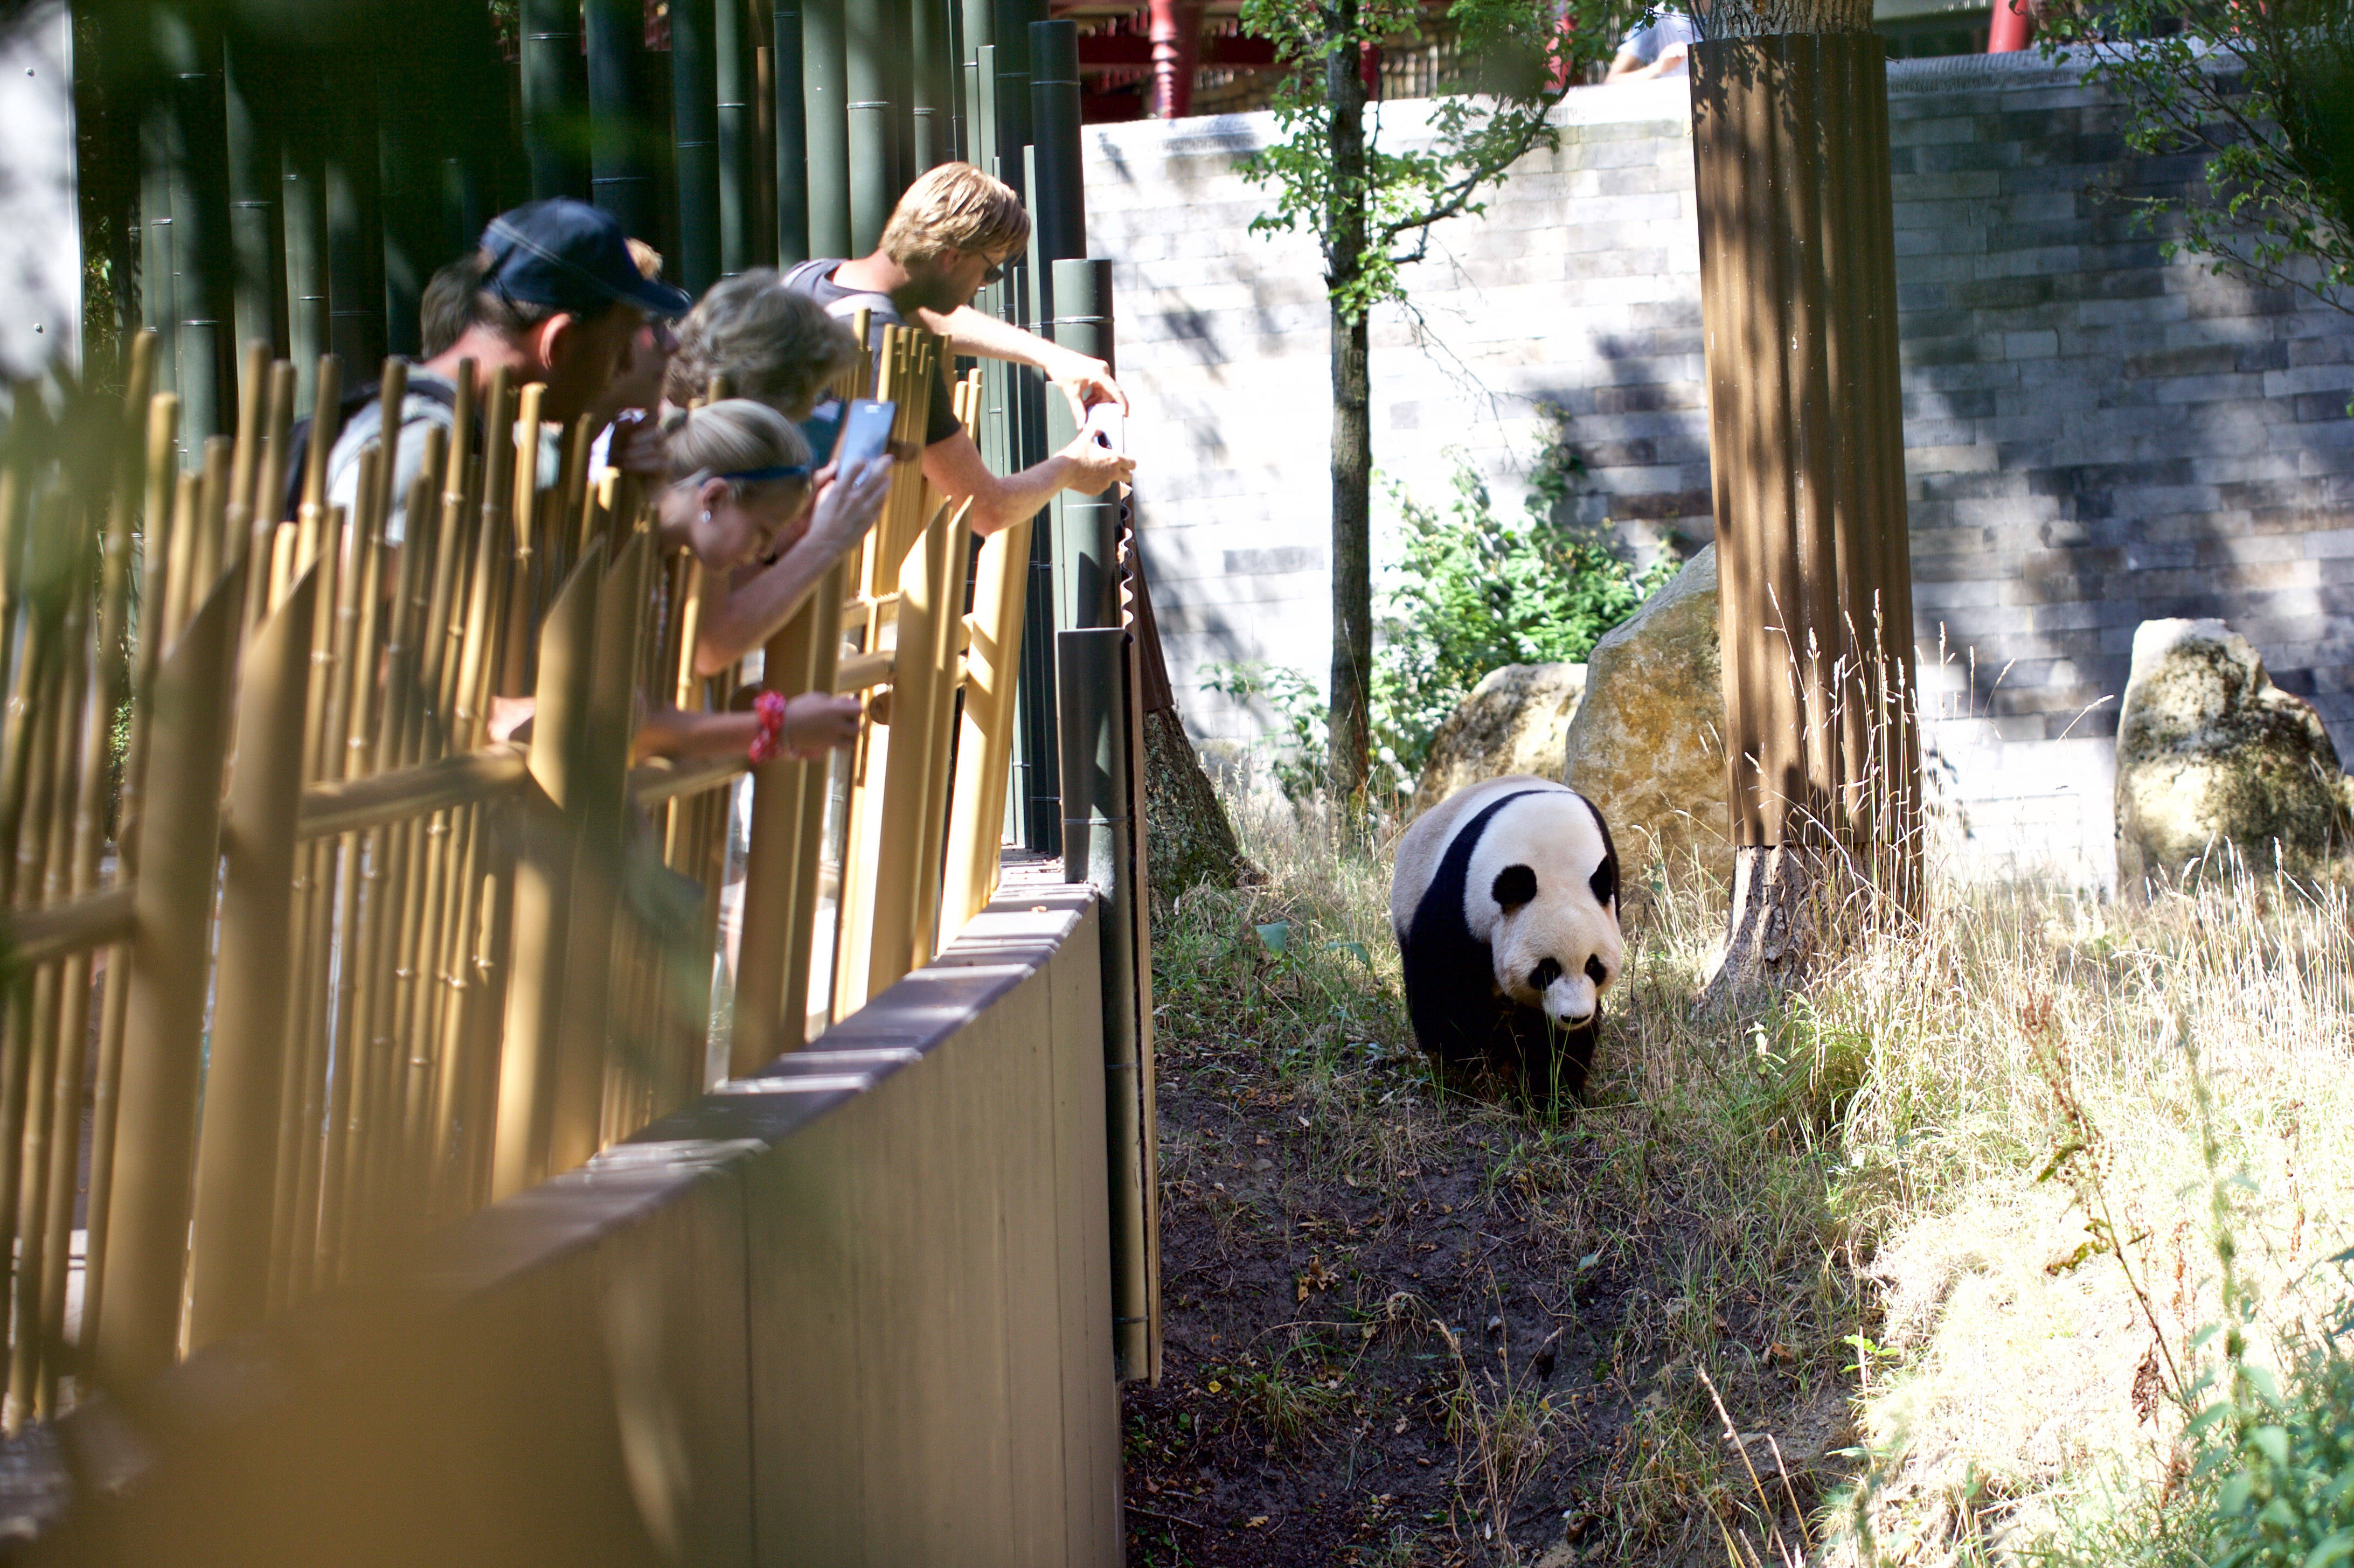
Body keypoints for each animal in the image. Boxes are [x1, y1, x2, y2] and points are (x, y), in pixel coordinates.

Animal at [1384, 772, 1629, 1097]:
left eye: (1593, 966)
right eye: (1547, 969)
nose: (1574, 1017)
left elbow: (1553, 1036)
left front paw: (1554, 1086)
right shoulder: (1465, 891)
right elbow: (1444, 976)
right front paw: (1464, 1055)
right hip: (1409, 893)